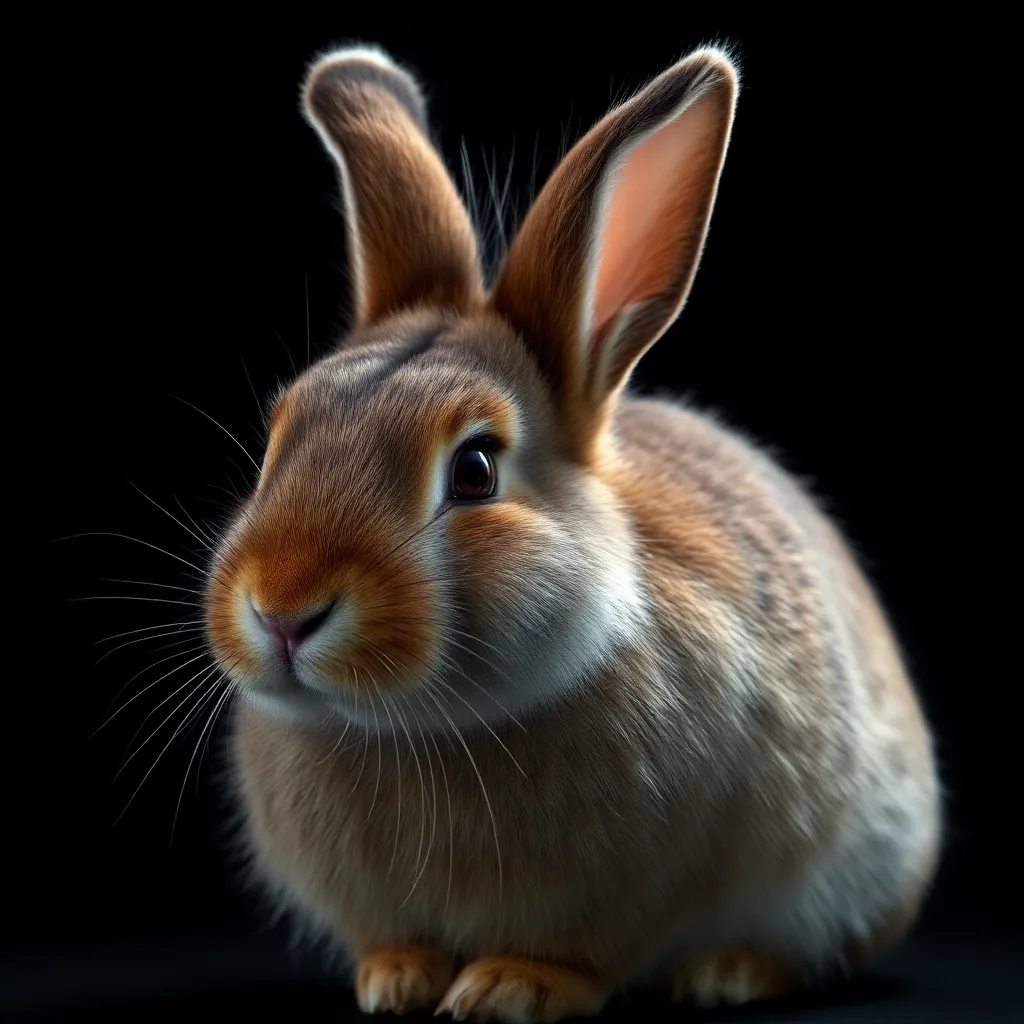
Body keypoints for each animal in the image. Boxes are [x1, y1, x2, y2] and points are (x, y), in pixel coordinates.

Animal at [204, 43, 941, 1022]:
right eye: (279, 436)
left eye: (476, 470)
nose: (284, 612)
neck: (416, 728)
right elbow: (395, 940)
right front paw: (394, 979)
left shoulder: (653, 877)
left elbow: (588, 949)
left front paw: (509, 988)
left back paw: (728, 974)